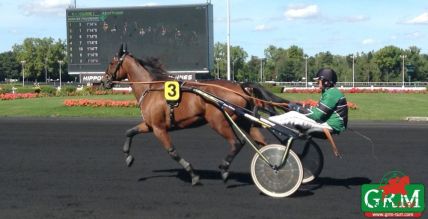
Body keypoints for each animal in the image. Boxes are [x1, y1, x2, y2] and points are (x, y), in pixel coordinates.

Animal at [101, 45, 288, 186]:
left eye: (111, 62)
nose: (103, 81)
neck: (150, 88)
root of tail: (241, 87)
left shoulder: (159, 128)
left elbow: (172, 152)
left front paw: (193, 175)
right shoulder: (149, 124)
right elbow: (129, 132)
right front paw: (128, 158)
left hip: (218, 121)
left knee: (237, 142)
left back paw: (225, 169)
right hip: (244, 121)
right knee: (262, 144)